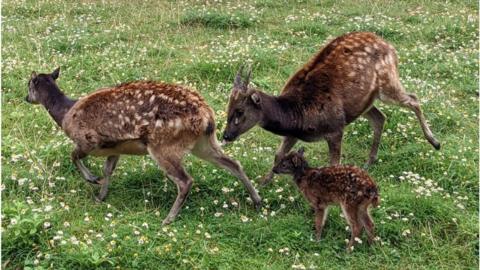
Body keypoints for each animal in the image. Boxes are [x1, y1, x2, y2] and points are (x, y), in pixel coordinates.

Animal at [223, 30, 440, 185]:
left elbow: (334, 164)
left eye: (240, 111)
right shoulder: (293, 133)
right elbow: (278, 154)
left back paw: (435, 142)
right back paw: (369, 161)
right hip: (364, 102)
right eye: (227, 108)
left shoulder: (335, 127)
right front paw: (262, 185)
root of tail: (390, 46)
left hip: (387, 82)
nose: (226, 135)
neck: (298, 116)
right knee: (380, 117)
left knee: (413, 99)